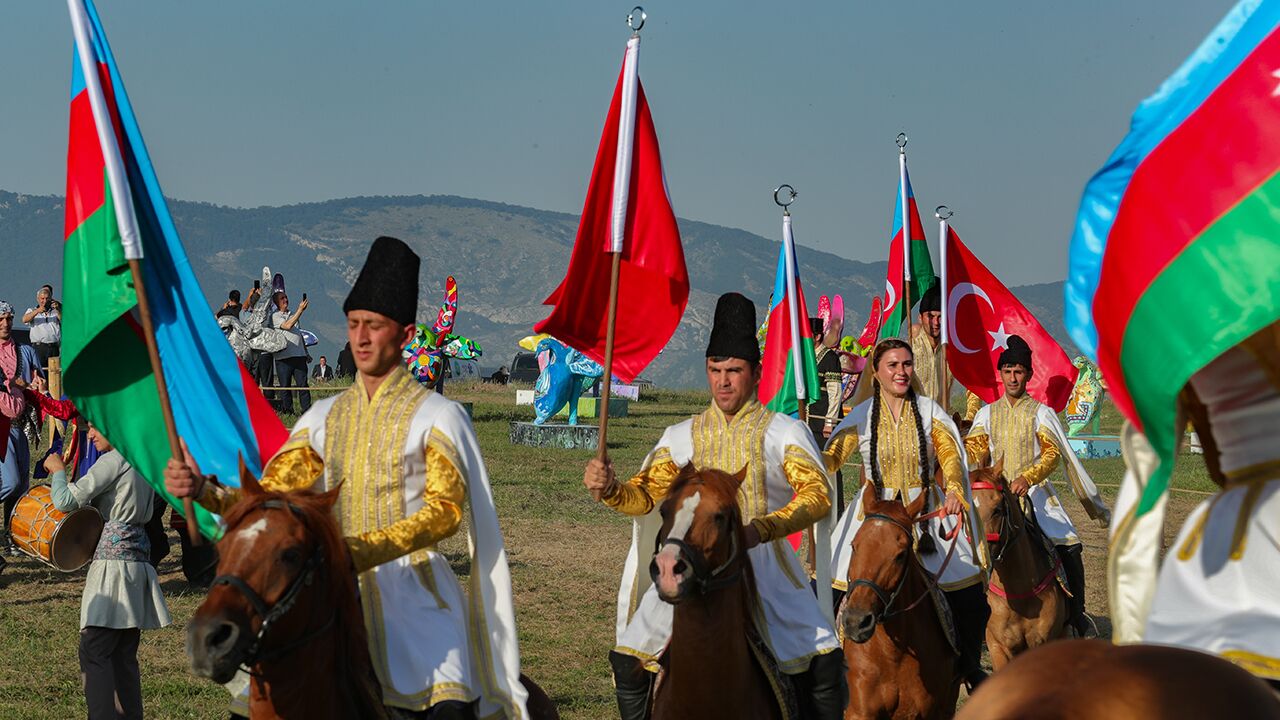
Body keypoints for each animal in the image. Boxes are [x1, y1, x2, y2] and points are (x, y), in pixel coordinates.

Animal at [839, 481, 962, 717]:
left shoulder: (931, 711)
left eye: (900, 554)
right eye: (853, 545)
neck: (893, 655)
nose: (855, 622)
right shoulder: (859, 712)